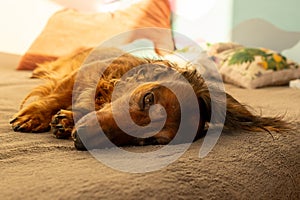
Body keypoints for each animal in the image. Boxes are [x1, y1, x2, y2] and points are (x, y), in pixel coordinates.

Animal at [9, 47, 290, 150]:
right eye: (148, 98)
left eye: (149, 141)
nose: (80, 140)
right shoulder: (83, 74)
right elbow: (57, 95)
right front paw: (33, 115)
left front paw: (65, 121)